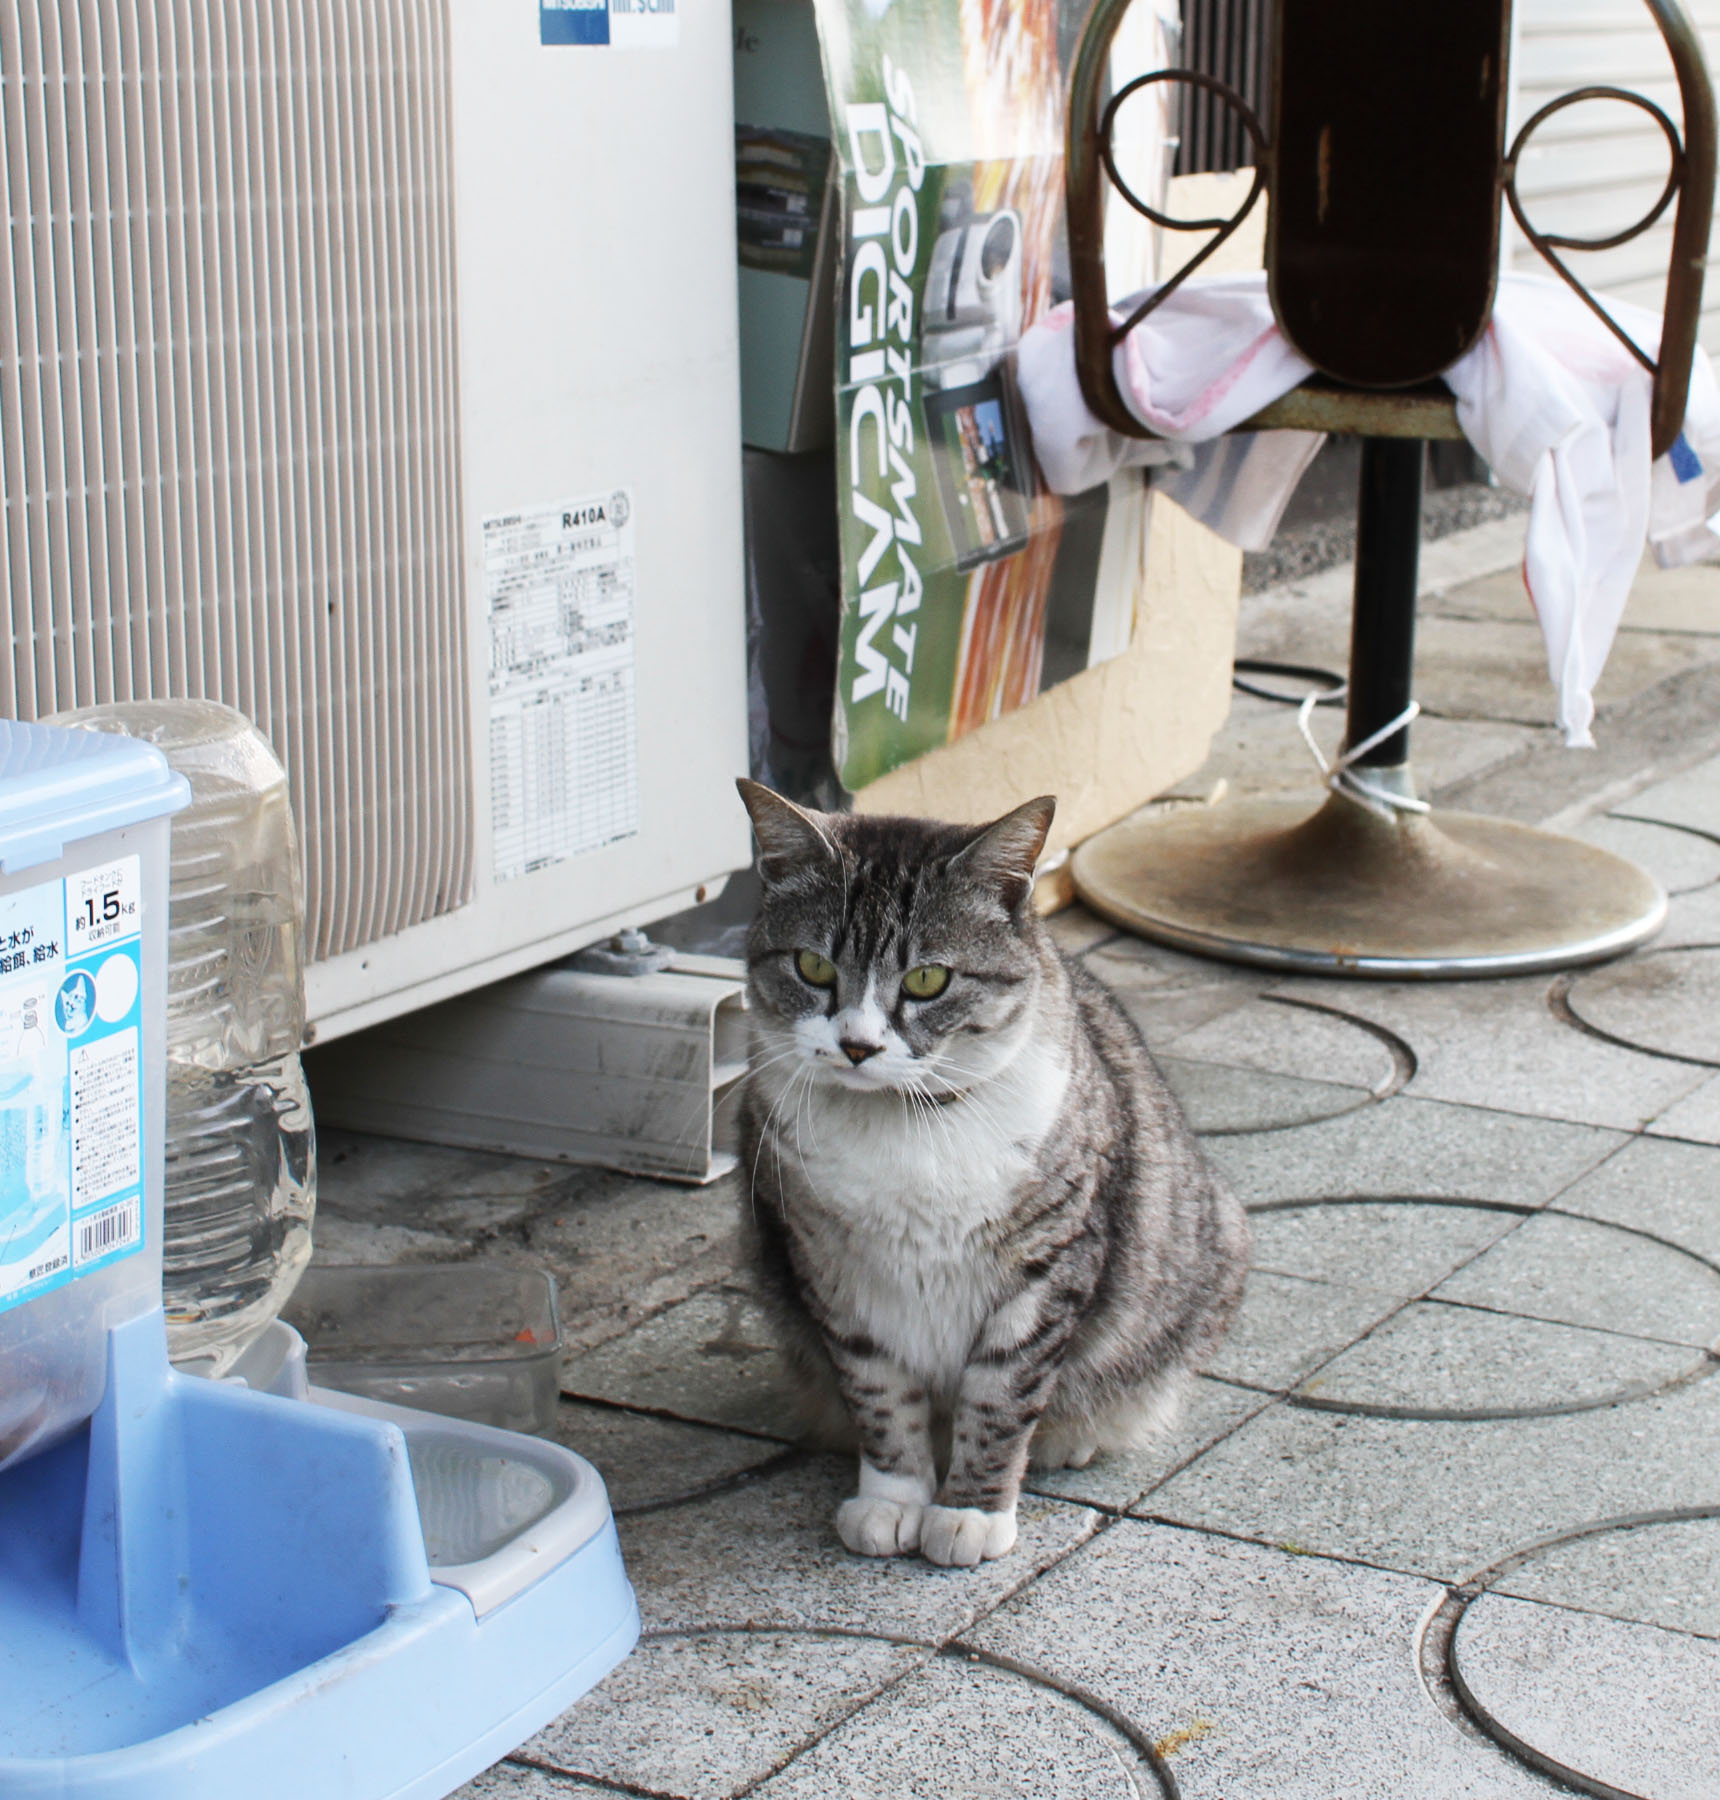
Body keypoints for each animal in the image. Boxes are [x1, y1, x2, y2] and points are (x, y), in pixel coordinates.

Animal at [735, 779, 1251, 1568]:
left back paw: (1072, 1438)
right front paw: (893, 1501)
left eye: (928, 978)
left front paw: (970, 1513)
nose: (856, 1046)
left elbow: (1001, 1396)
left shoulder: (1047, 1265)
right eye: (813, 968)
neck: (903, 1123)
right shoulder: (830, 1271)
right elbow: (879, 1393)